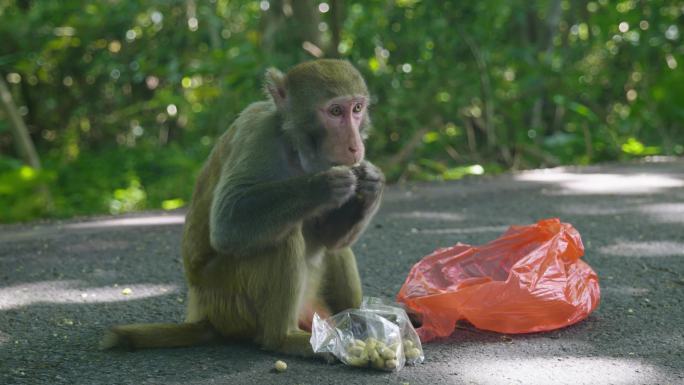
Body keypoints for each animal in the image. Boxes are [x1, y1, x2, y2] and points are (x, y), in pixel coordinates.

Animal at [99, 58, 382, 356]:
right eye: (335, 111)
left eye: (357, 109)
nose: (355, 145)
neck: (295, 146)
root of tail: (203, 313)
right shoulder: (258, 133)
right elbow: (228, 221)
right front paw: (324, 185)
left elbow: (329, 239)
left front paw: (371, 182)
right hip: (227, 297)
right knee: (282, 239)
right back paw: (284, 339)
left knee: (332, 248)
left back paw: (356, 323)